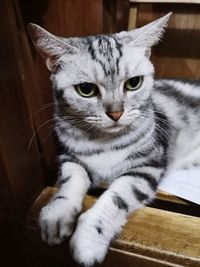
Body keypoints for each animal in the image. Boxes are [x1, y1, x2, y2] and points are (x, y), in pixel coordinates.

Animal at [27, 13, 200, 267]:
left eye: (134, 83)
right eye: (86, 89)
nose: (116, 113)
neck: (103, 141)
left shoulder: (146, 166)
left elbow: (115, 198)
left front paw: (87, 241)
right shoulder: (69, 157)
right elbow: (71, 181)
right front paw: (56, 215)